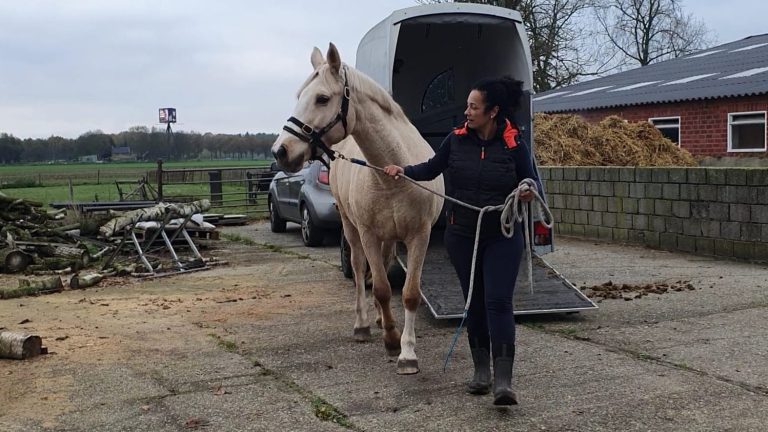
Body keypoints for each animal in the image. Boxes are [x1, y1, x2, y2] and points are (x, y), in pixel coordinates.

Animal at [271, 43, 444, 375]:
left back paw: (379, 318)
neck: (393, 173)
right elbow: (380, 287)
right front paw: (391, 340)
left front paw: (407, 352)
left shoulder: (419, 236)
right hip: (351, 228)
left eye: (322, 98)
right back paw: (364, 324)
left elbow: (409, 294)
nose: (281, 151)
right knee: (359, 268)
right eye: (300, 95)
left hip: (389, 238)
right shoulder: (367, 234)